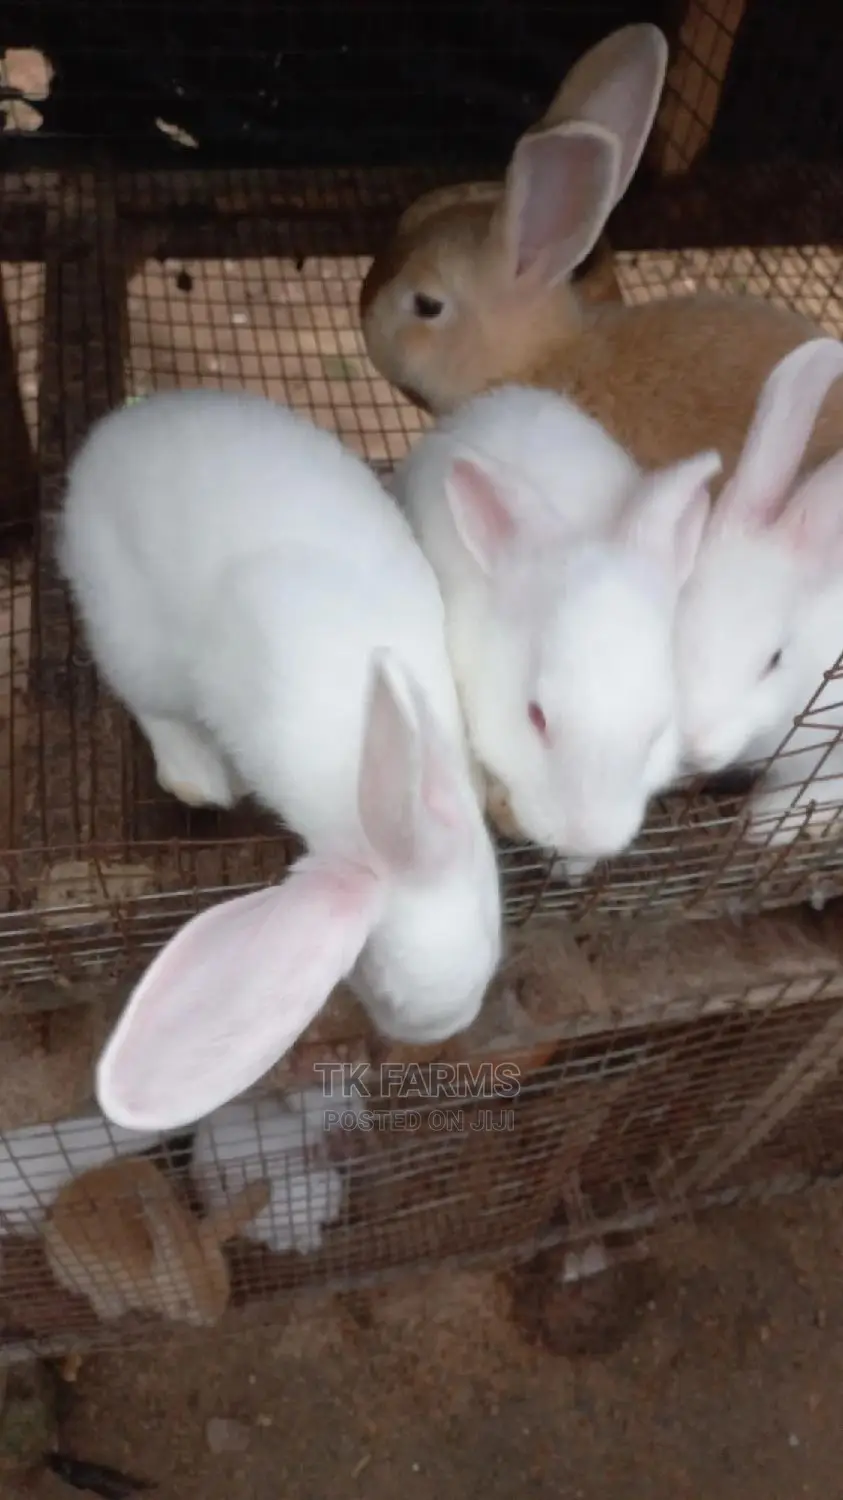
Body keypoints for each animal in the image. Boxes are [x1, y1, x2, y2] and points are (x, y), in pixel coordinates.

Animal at [55, 389, 502, 1136]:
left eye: (493, 932)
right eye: (368, 981)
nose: (446, 1027)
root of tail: (115, 432)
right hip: (129, 636)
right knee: (152, 706)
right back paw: (201, 780)